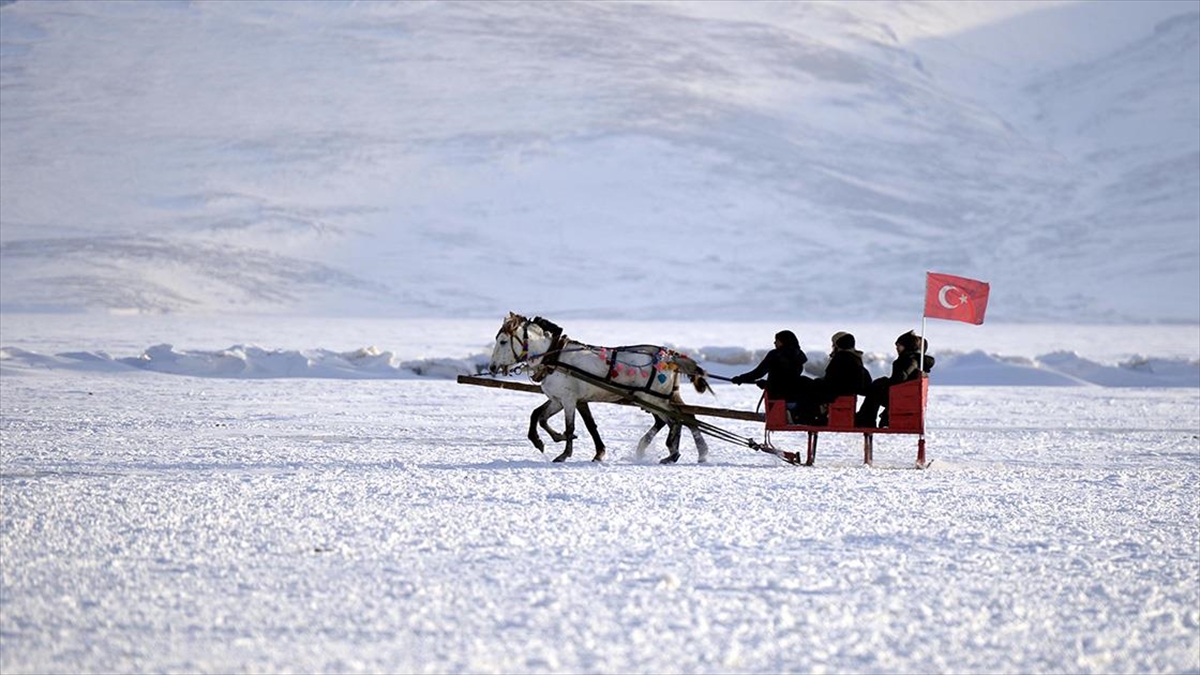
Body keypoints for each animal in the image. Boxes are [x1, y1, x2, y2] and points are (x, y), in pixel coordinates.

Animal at [489, 312, 710, 461]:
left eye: (502, 341)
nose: (491, 367)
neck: (555, 357)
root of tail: (670, 356)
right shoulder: (561, 399)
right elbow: (540, 416)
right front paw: (548, 440)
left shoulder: (569, 400)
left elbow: (571, 425)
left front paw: (564, 453)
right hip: (656, 399)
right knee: (683, 417)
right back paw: (692, 451)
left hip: (653, 398)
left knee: (676, 419)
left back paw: (673, 453)